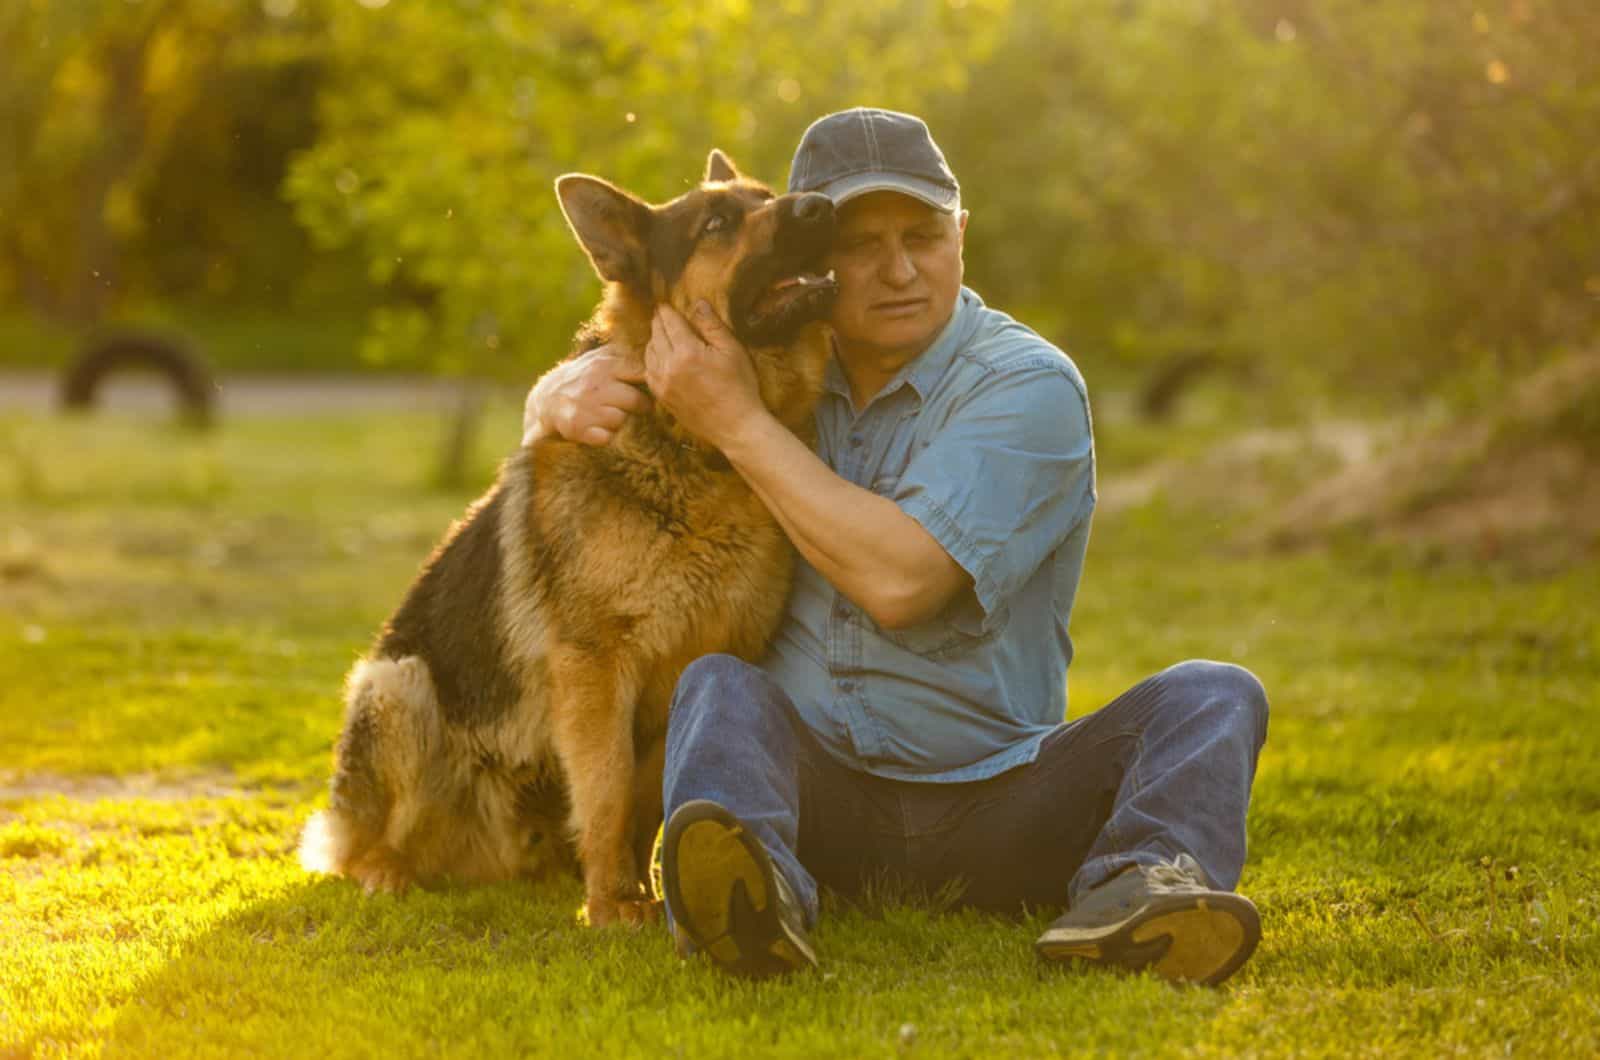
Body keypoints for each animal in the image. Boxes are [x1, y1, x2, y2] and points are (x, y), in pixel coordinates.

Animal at [299, 151, 838, 928]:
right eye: (716, 224)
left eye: (767, 196)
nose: (824, 209)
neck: (699, 446)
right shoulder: (595, 669)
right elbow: (608, 792)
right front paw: (612, 906)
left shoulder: (695, 667)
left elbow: (645, 801)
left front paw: (641, 889)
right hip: (397, 684)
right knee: (364, 842)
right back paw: (386, 872)